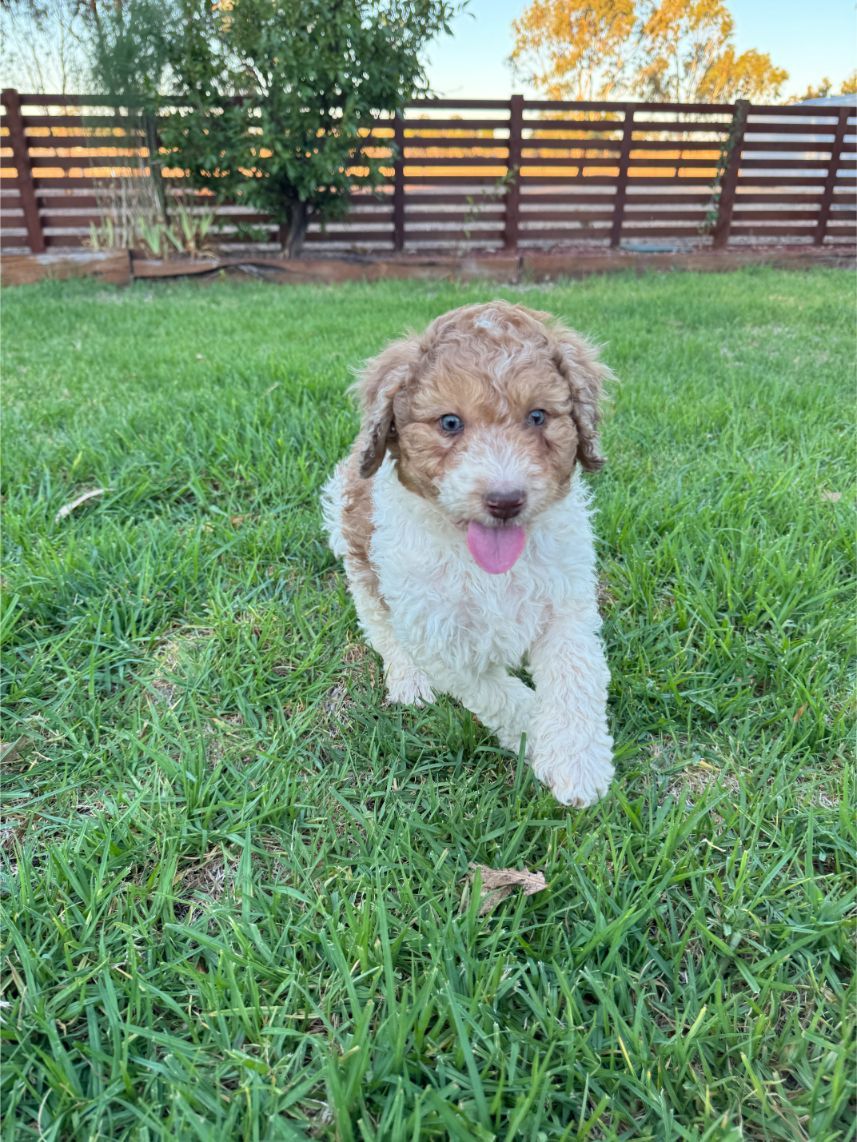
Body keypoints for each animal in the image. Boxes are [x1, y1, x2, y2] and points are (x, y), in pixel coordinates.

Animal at [321, 300, 614, 806]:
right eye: (450, 423)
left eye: (538, 416)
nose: (505, 499)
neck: (487, 566)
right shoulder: (433, 630)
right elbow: (495, 693)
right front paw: (537, 736)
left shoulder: (567, 603)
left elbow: (575, 674)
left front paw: (576, 761)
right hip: (358, 561)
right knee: (381, 629)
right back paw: (409, 680)